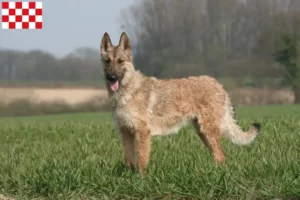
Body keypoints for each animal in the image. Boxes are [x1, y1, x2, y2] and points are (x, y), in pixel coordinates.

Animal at [99, 32, 258, 177]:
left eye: (120, 61)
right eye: (107, 61)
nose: (112, 77)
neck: (126, 92)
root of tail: (219, 85)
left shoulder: (142, 132)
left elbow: (142, 160)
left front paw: (141, 181)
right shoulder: (125, 132)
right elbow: (130, 160)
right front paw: (132, 179)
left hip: (208, 132)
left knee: (221, 155)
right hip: (203, 133)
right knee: (219, 155)